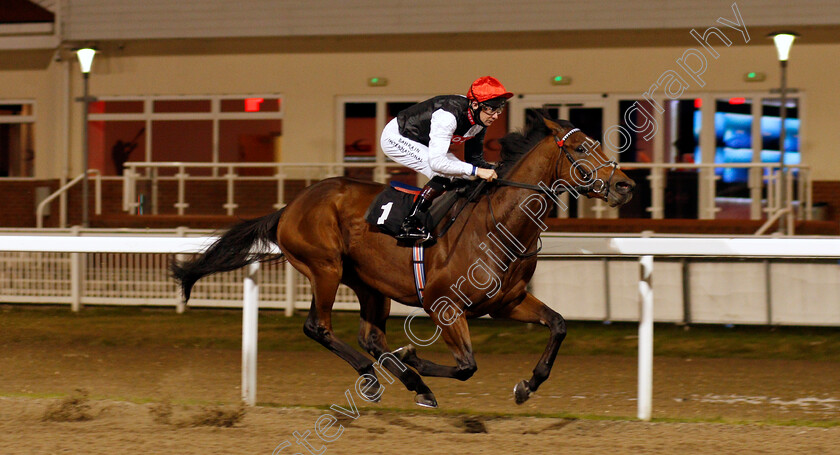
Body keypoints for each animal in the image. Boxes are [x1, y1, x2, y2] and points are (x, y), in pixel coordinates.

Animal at [171, 114, 632, 410]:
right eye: (580, 148)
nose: (625, 185)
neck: (498, 222)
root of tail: (290, 206)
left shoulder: (507, 302)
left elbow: (558, 324)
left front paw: (527, 385)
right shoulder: (444, 306)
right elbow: (466, 366)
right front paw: (412, 358)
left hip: (371, 284)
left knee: (370, 337)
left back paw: (407, 380)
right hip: (324, 267)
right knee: (318, 326)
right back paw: (380, 377)